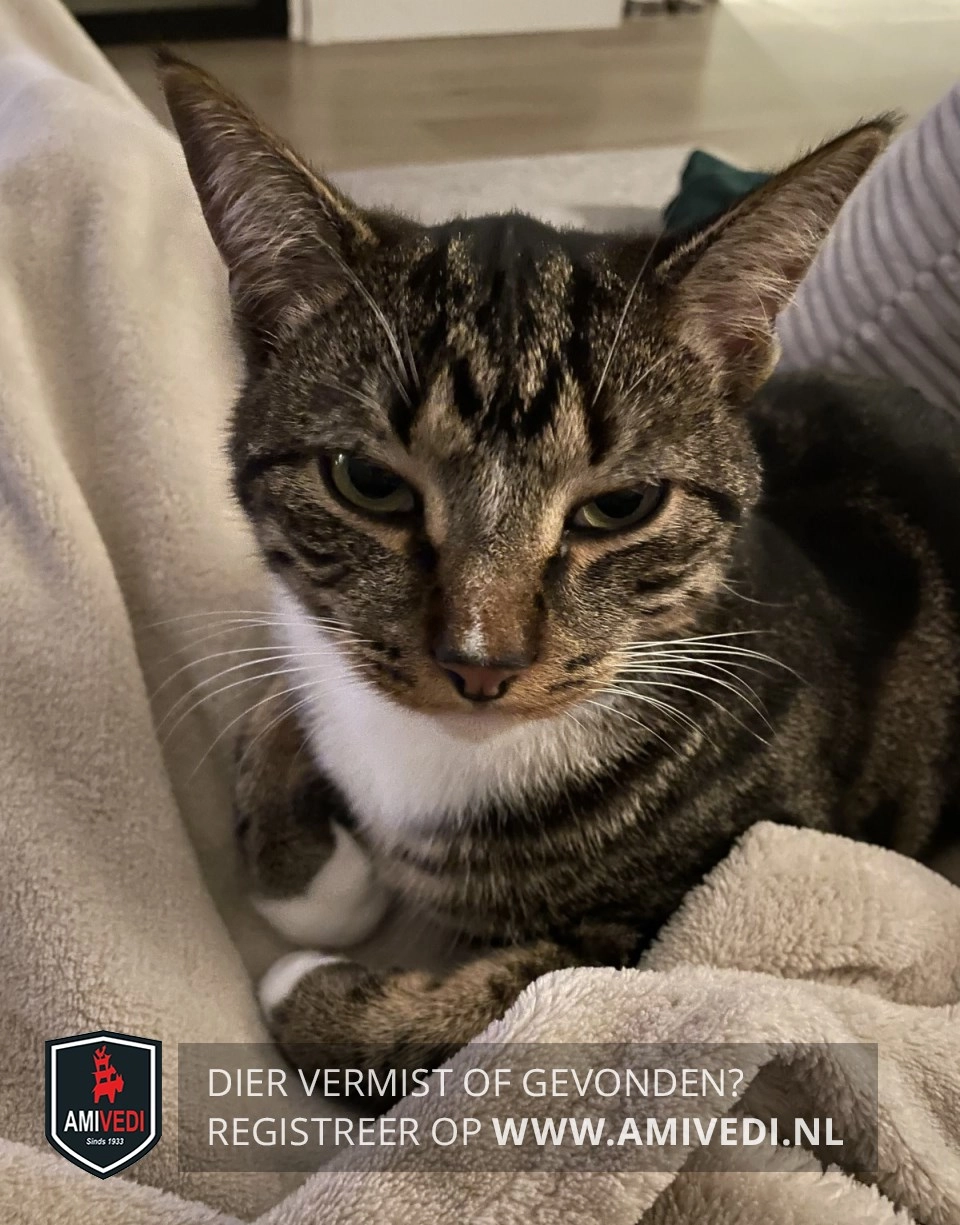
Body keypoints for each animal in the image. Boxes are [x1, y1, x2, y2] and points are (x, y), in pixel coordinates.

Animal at [158, 53, 960, 1077]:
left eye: (622, 506)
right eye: (368, 481)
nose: (480, 662)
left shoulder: (711, 915)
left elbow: (526, 1006)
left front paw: (307, 983)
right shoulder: (301, 626)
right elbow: (284, 694)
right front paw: (313, 874)